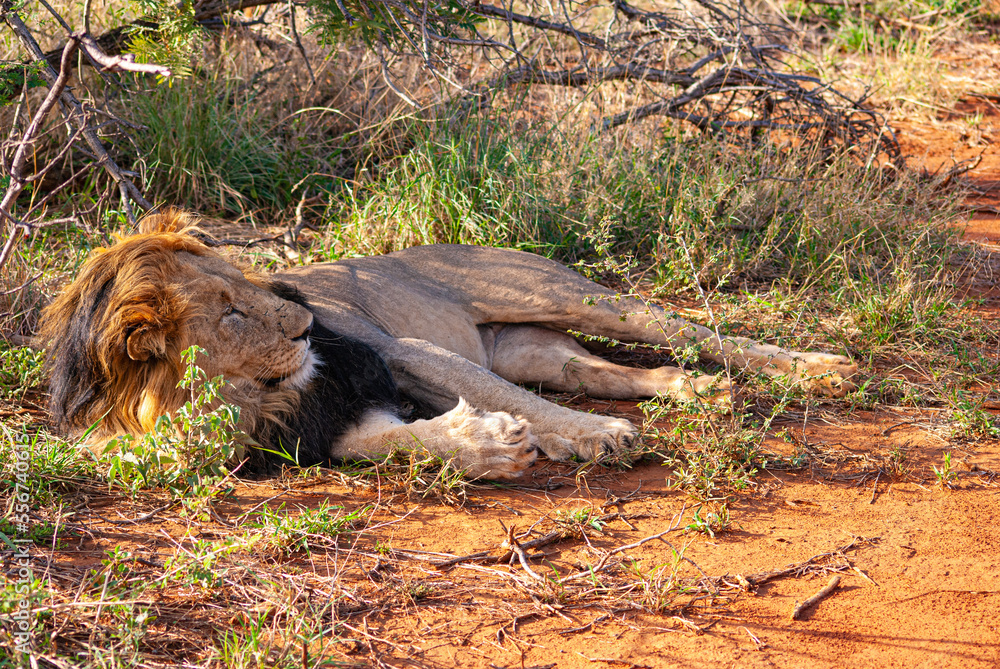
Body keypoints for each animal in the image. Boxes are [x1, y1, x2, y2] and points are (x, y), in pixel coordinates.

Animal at [41, 209, 857, 479]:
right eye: (229, 313)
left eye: (251, 279)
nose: (303, 324)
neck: (241, 399)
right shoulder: (309, 432)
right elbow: (398, 442)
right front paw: (488, 445)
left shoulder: (396, 350)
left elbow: (509, 401)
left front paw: (596, 437)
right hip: (532, 345)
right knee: (604, 371)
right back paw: (699, 391)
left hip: (565, 295)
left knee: (689, 330)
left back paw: (818, 370)